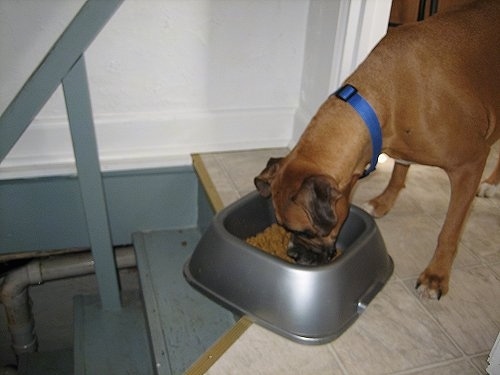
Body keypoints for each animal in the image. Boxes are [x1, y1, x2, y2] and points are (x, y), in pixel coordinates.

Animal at [254, 0, 500, 300]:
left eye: (307, 232)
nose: (292, 254)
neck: (381, 97)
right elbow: (400, 169)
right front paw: (384, 201)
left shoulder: (471, 163)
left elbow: (450, 230)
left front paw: (436, 276)